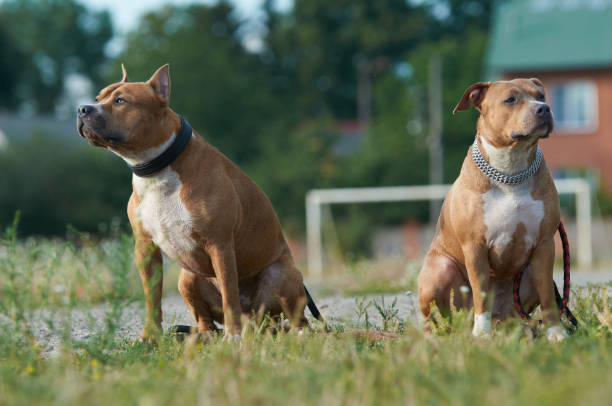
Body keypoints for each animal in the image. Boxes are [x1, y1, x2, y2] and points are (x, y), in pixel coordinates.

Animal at [76, 66, 320, 342]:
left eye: (120, 101)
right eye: (97, 99)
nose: (82, 109)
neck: (157, 170)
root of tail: (255, 323)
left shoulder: (220, 244)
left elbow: (229, 294)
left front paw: (234, 336)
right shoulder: (145, 248)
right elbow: (152, 297)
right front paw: (150, 336)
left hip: (281, 275)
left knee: (297, 317)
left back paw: (297, 332)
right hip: (188, 277)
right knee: (206, 320)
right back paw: (204, 335)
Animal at [418, 78, 568, 342]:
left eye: (540, 95)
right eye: (510, 99)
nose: (544, 108)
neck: (511, 172)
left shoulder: (544, 245)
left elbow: (549, 298)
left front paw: (556, 333)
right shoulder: (475, 246)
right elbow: (480, 293)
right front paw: (481, 333)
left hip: (527, 277)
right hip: (440, 270)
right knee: (437, 318)